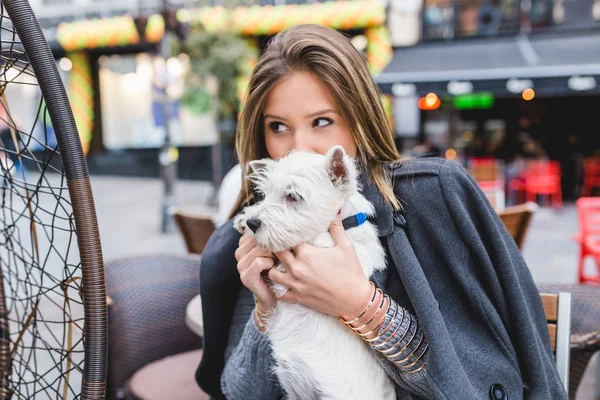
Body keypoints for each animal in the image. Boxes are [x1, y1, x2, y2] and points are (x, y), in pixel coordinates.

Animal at [236, 146, 398, 400]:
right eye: (265, 194)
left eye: (293, 196)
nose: (252, 223)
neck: (342, 222)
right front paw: (243, 219)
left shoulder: (354, 257)